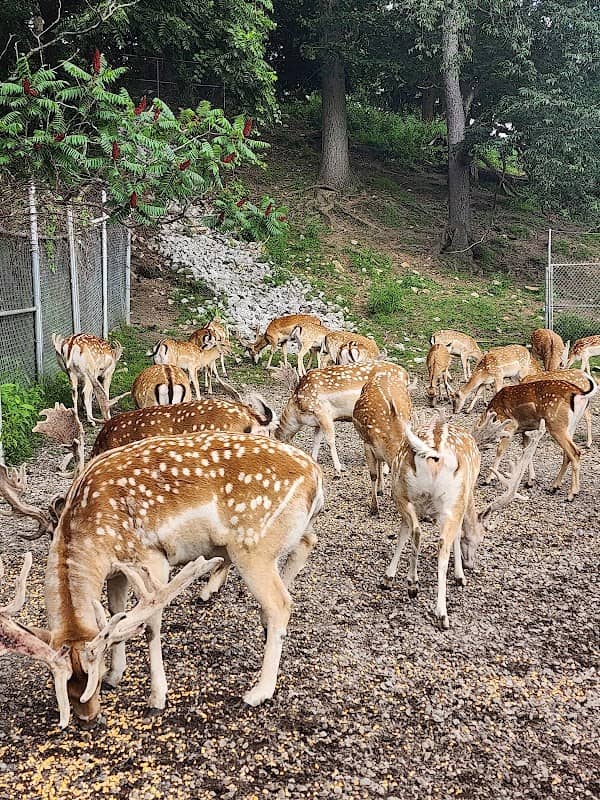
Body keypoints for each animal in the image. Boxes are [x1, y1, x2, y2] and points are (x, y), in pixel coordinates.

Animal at [36, 431, 324, 726]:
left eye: (90, 675)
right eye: (61, 683)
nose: (88, 717)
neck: (94, 537)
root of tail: (316, 476)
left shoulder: (151, 558)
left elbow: (151, 623)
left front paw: (156, 698)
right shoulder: (118, 571)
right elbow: (117, 612)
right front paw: (115, 676)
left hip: (253, 547)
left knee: (281, 603)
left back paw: (258, 692)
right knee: (306, 544)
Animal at [274, 361, 410, 476]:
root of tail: (405, 375)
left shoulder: (323, 412)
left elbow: (330, 440)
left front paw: (339, 467)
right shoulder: (318, 421)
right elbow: (317, 440)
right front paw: (313, 459)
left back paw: (386, 470)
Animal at [352, 366, 412, 515]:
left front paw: (390, 494)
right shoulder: (367, 444)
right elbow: (372, 474)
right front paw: (374, 508)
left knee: (381, 461)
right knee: (379, 462)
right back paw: (380, 490)